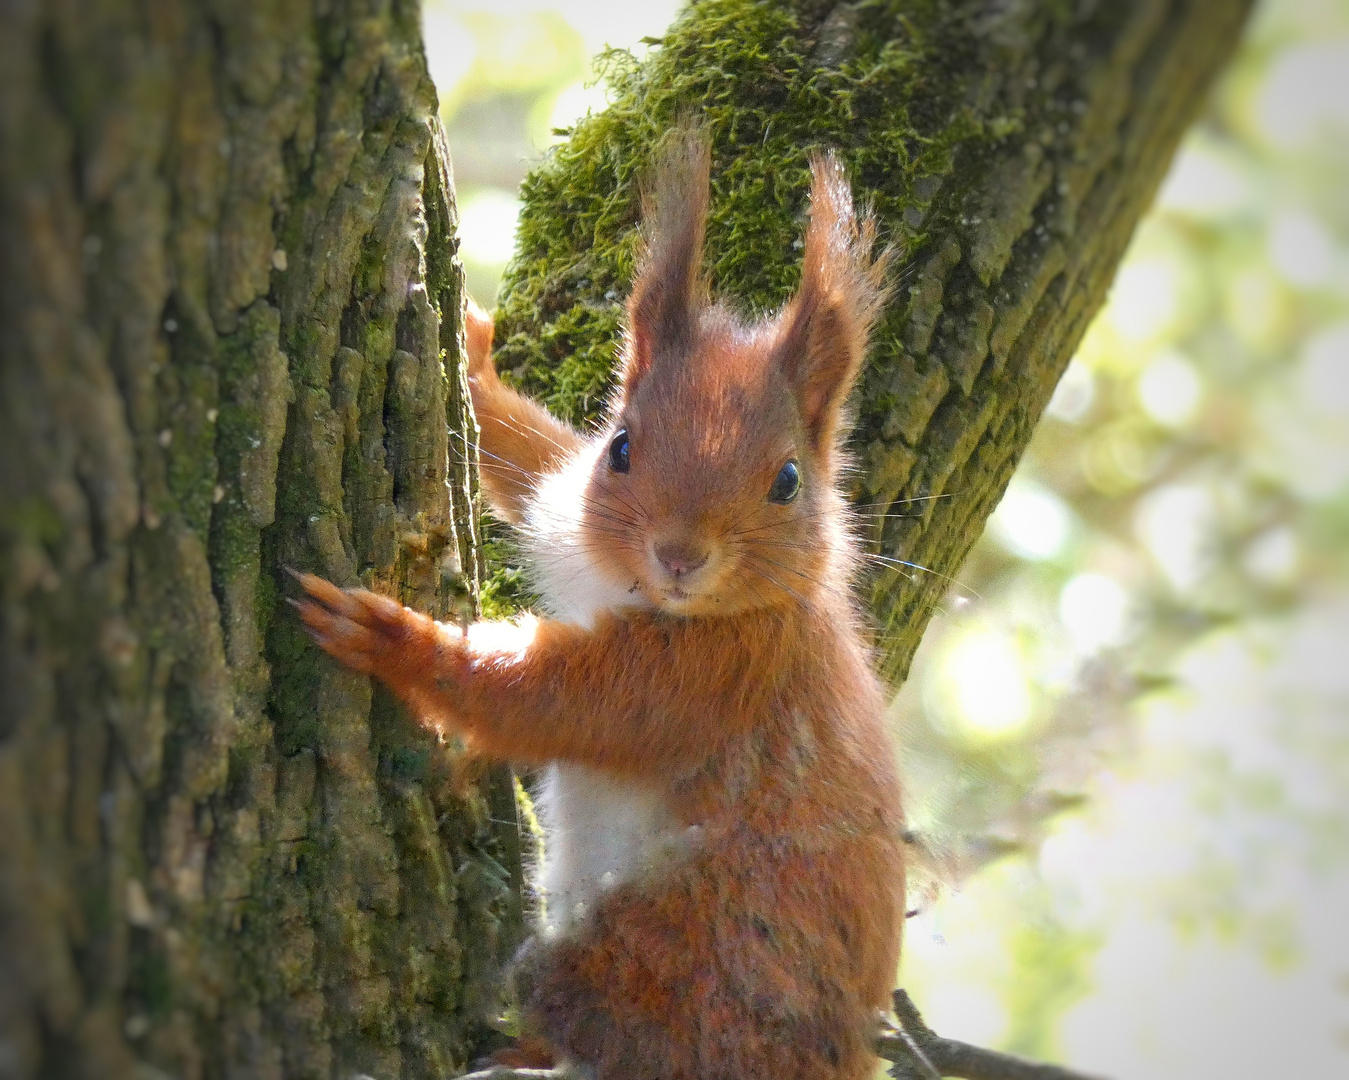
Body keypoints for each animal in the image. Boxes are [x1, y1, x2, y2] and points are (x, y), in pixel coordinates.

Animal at [295, 134, 906, 1078]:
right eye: (619, 447)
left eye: (786, 481)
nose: (680, 555)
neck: (626, 585)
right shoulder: (561, 508)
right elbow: (526, 455)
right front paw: (472, 360)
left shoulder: (709, 678)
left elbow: (555, 701)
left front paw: (394, 638)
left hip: (661, 956)